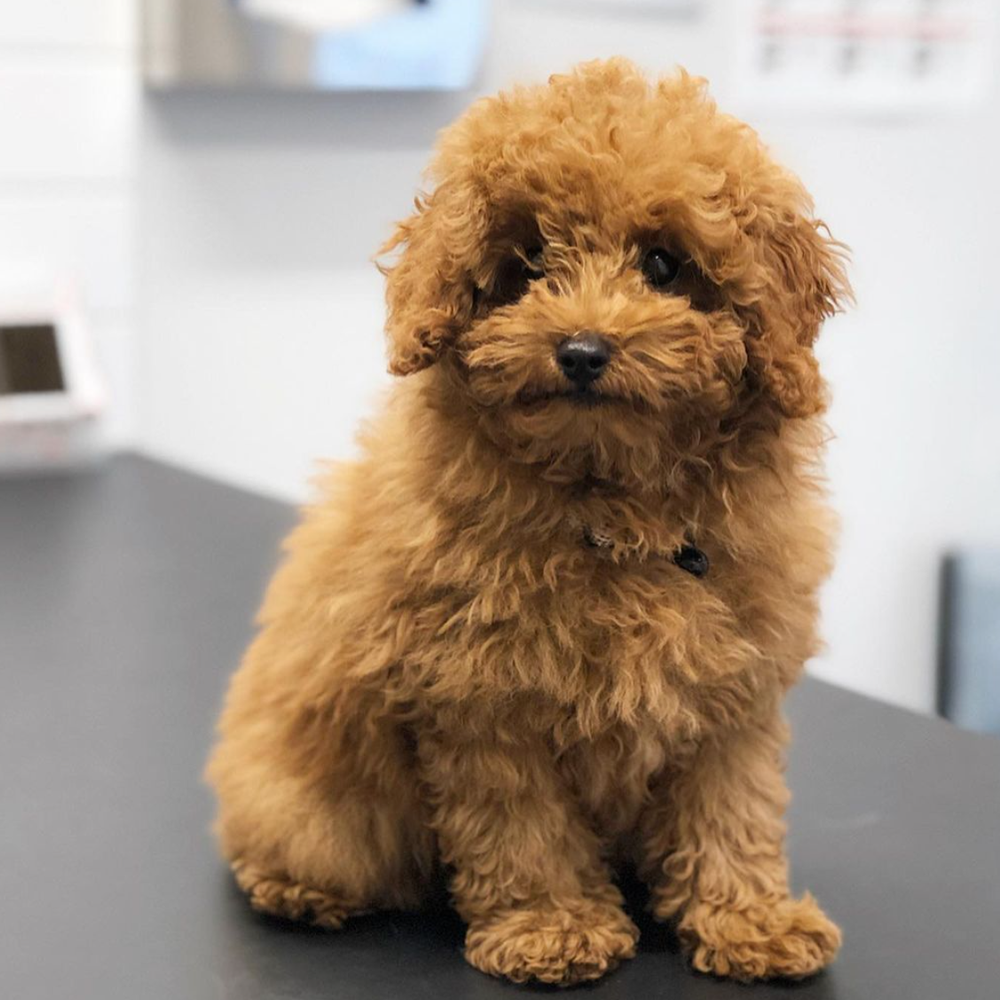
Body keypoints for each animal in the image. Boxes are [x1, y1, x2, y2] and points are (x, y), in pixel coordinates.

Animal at [207, 56, 848, 984]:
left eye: (663, 263)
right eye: (531, 260)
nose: (581, 350)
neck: (612, 507)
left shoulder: (733, 698)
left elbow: (734, 808)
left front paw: (749, 920)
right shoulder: (478, 703)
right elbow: (522, 830)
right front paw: (553, 928)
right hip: (306, 801)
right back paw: (298, 890)